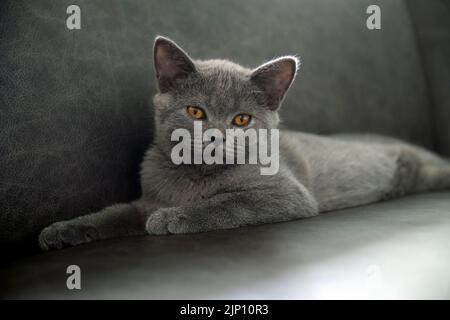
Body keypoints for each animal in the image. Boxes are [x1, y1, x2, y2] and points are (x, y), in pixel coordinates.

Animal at [38, 35, 450, 250]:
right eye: (196, 111)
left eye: (241, 120)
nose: (216, 136)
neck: (196, 177)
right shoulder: (146, 198)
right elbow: (113, 213)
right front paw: (61, 231)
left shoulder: (286, 194)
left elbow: (228, 202)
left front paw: (172, 218)